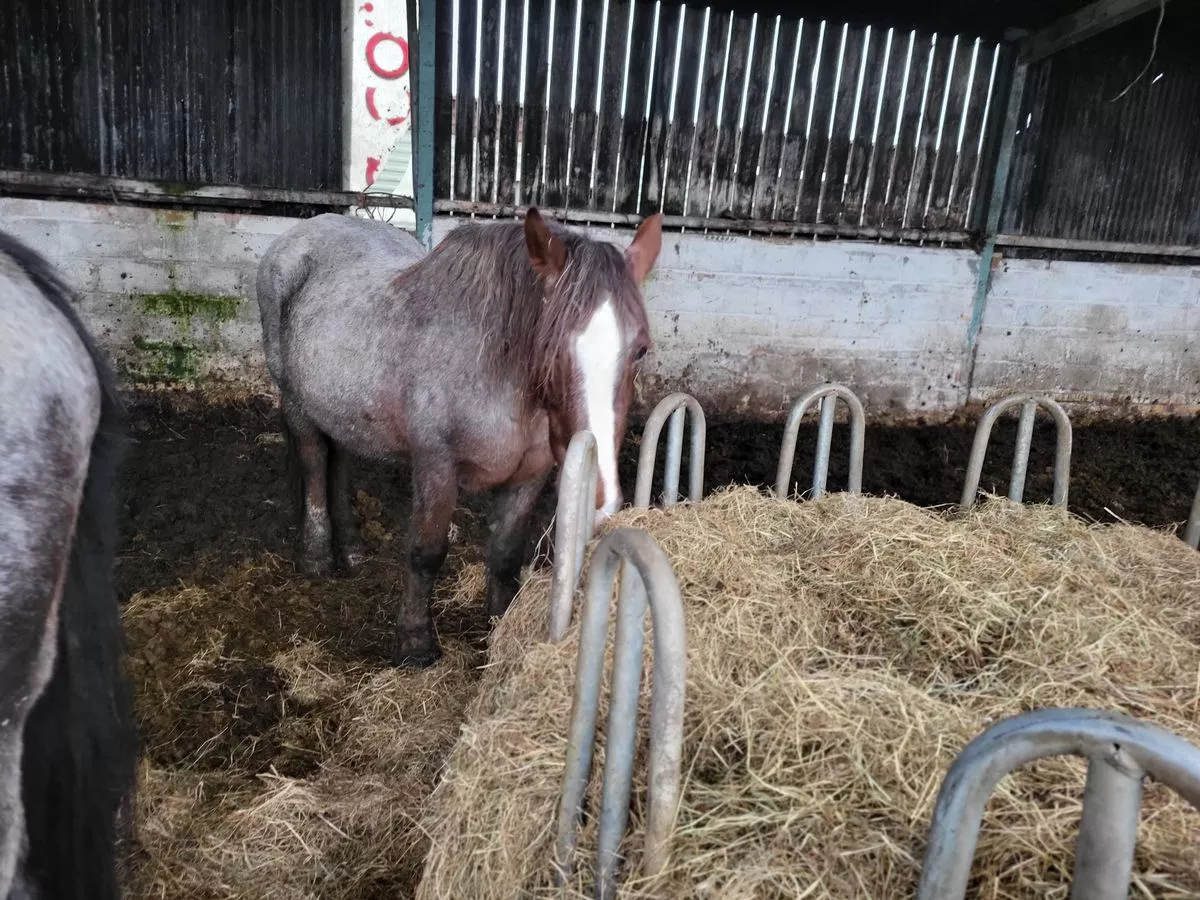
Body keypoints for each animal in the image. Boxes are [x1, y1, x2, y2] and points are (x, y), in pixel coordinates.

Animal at [256, 207, 663, 668]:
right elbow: (425, 553)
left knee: (339, 457)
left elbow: (505, 554)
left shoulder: (530, 475)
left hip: (340, 404)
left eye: (641, 349)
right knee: (313, 462)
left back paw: (353, 548)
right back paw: (317, 554)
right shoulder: (437, 467)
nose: (601, 496)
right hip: (296, 400)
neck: (492, 371)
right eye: (551, 345)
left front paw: (499, 625)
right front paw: (416, 642)